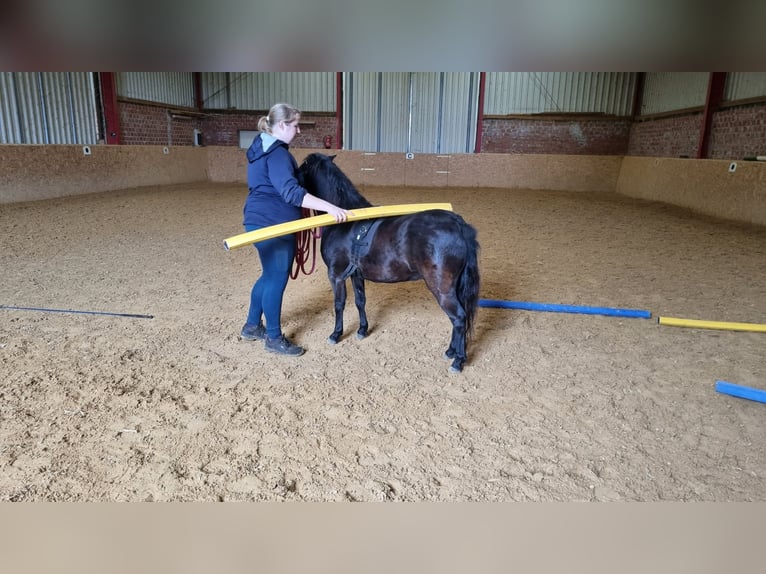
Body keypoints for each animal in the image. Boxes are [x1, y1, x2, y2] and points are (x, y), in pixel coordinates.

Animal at [298, 154, 480, 374]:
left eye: (302, 166)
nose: (293, 176)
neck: (344, 221)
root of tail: (458, 224)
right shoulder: (355, 275)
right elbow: (360, 301)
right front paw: (362, 330)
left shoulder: (336, 275)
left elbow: (339, 304)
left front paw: (336, 334)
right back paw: (451, 352)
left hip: (442, 289)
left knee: (459, 318)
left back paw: (457, 360)